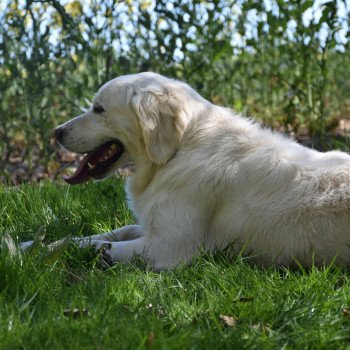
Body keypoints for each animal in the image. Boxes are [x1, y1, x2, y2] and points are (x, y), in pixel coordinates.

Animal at [45, 70, 350, 268]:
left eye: (99, 109)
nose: (56, 132)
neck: (178, 150)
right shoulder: (150, 227)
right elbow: (103, 234)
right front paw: (41, 243)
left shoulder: (166, 248)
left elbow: (94, 246)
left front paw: (38, 252)